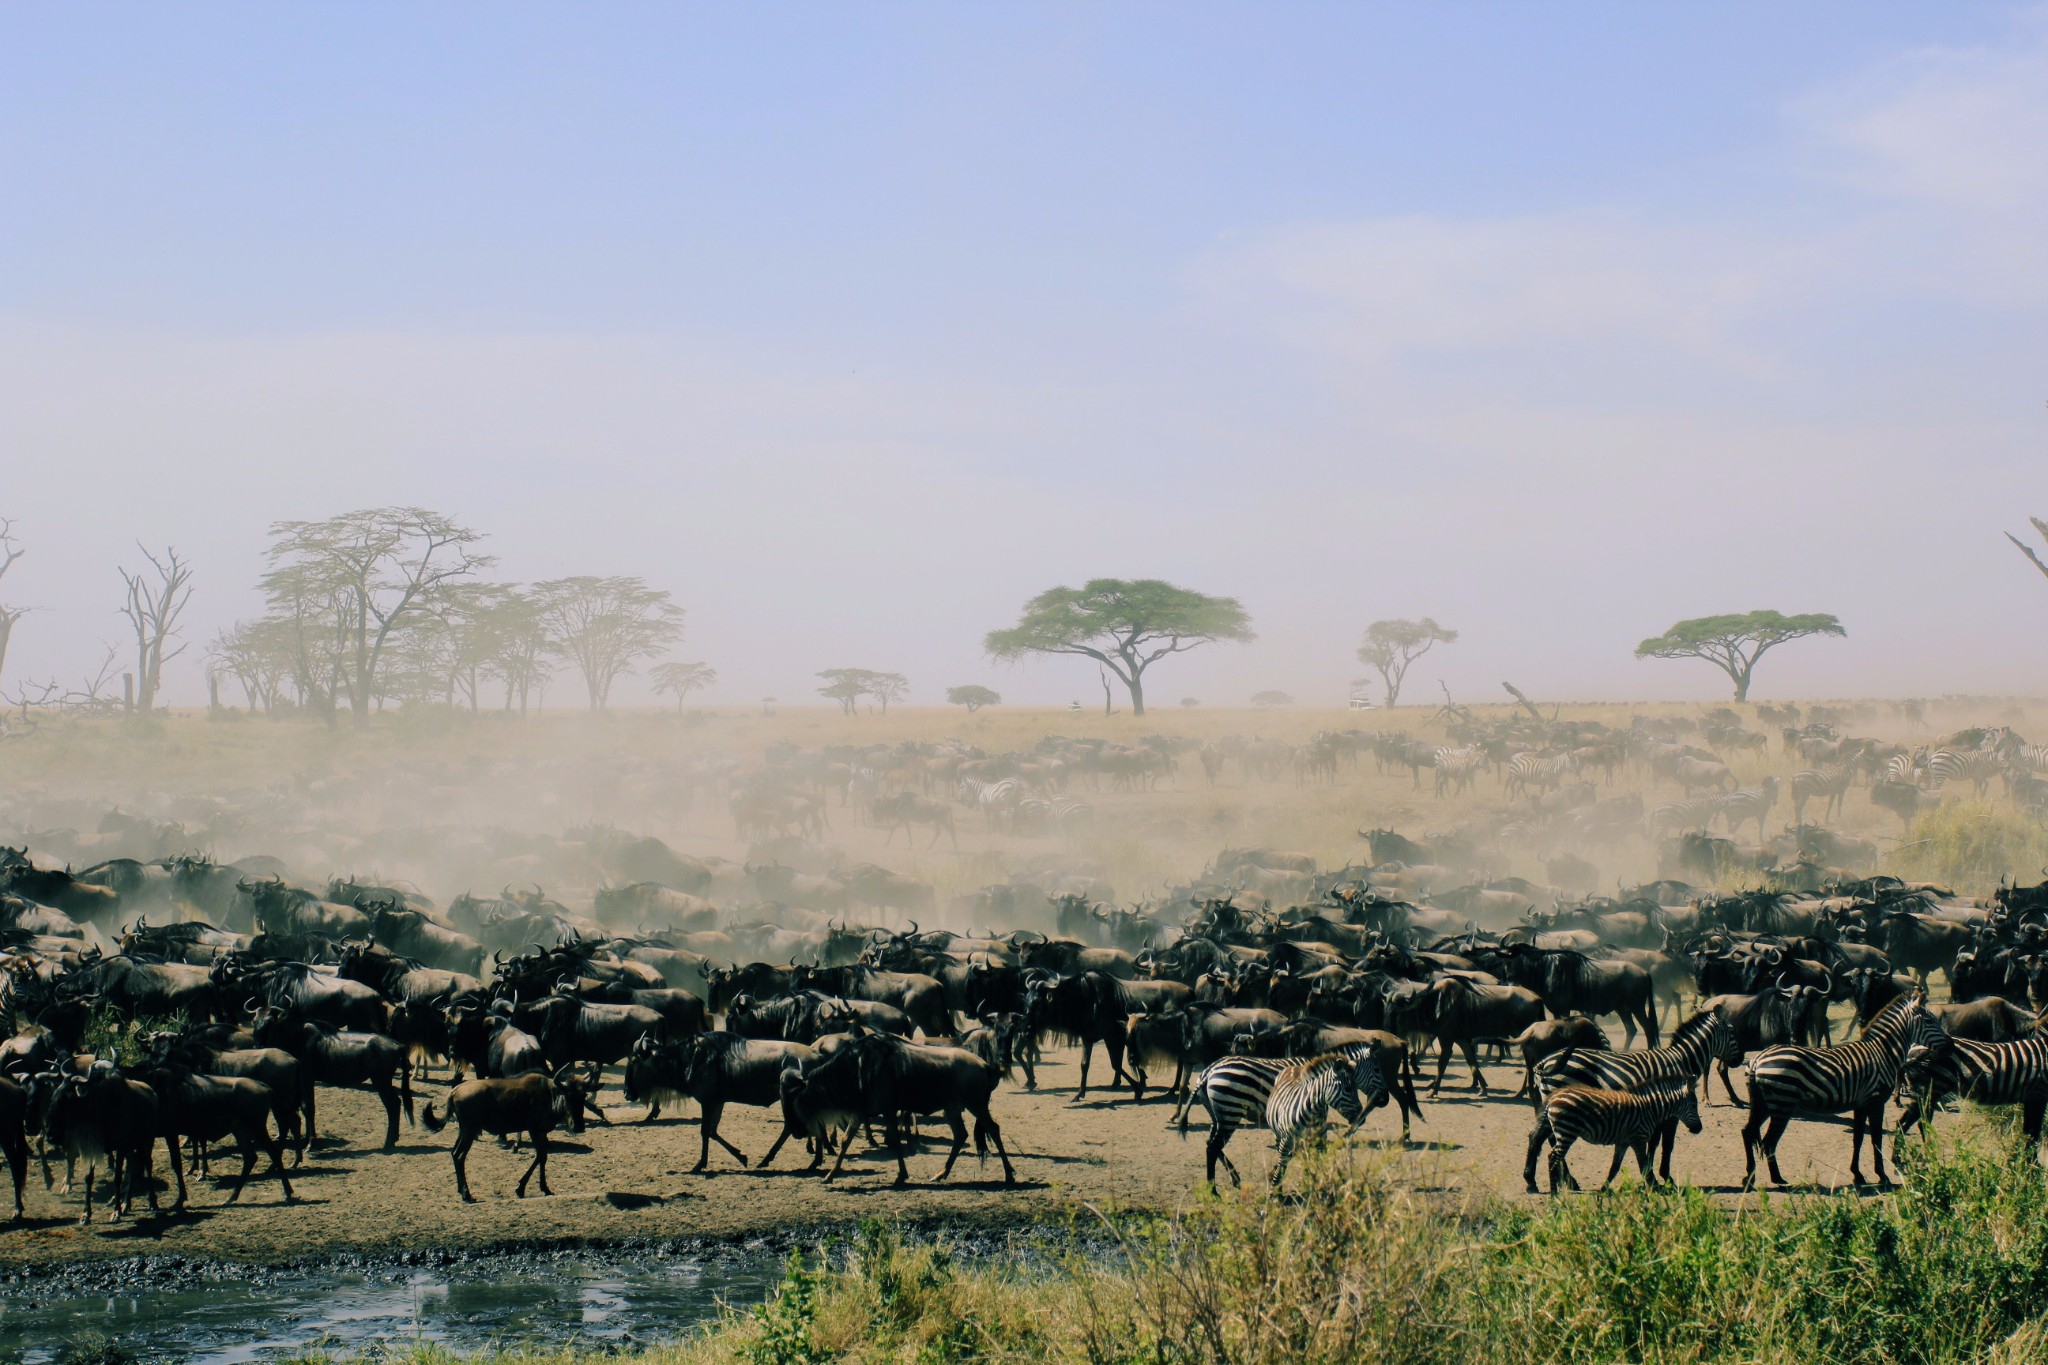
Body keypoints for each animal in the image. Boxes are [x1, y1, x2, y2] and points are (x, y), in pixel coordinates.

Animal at [1179, 1055, 1384, 1186]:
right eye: (1377, 1070)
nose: (1384, 1100)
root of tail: (1208, 1070)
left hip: (1218, 1114)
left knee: (1211, 1144)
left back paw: (1233, 1178)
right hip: (1230, 1111)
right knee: (1214, 1146)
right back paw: (1213, 1189)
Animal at [1531, 1080, 1703, 1186]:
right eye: (1694, 1105)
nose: (1699, 1129)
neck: (1651, 1109)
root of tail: (1553, 1096)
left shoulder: (1623, 1142)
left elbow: (1614, 1168)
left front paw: (1604, 1190)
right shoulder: (1638, 1139)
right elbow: (1644, 1167)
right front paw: (1654, 1188)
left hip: (1559, 1130)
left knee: (1549, 1153)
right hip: (1567, 1131)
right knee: (1553, 1158)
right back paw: (1554, 1194)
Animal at [1744, 986, 1933, 1186]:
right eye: (1930, 1021)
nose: (1946, 1043)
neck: (1882, 1052)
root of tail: (1757, 1059)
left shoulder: (1861, 1104)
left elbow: (1858, 1138)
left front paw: (1858, 1174)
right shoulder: (1875, 1100)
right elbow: (1876, 1138)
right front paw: (1882, 1175)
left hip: (1763, 1104)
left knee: (1748, 1133)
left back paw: (1750, 1177)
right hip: (1782, 1103)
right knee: (1769, 1142)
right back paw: (1777, 1178)